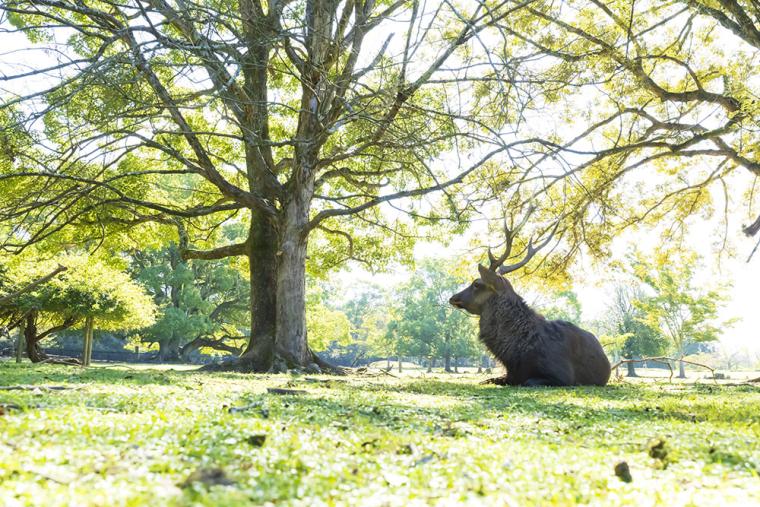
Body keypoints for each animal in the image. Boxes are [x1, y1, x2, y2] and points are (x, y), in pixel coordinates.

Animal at [448, 220, 611, 387]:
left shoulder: (562, 376)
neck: (515, 356)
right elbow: (486, 380)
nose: (453, 297)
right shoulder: (510, 375)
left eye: (476, 283)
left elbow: (528, 382)